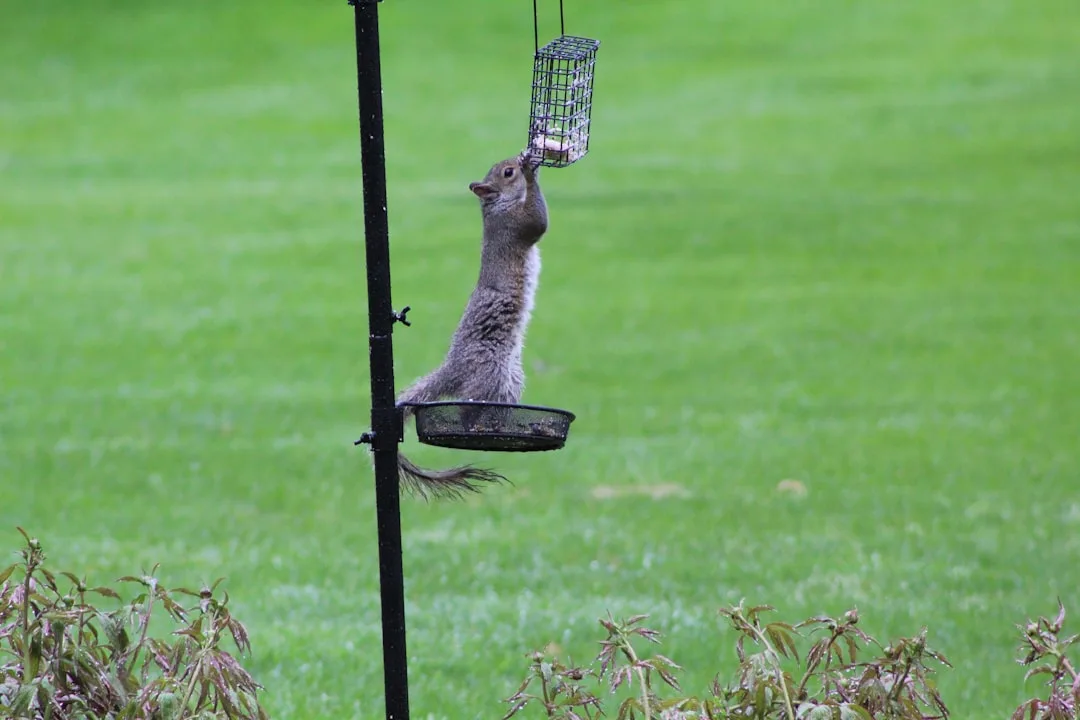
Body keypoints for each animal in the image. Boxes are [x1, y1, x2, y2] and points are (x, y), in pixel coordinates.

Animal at [394, 149, 549, 500]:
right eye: (507, 173)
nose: (520, 159)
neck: (495, 206)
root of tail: (454, 367)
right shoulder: (515, 225)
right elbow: (538, 221)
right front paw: (532, 174)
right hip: (490, 370)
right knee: (467, 408)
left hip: (509, 379)